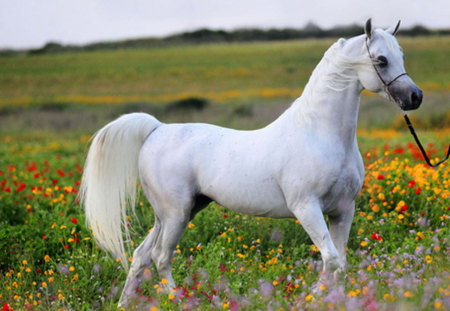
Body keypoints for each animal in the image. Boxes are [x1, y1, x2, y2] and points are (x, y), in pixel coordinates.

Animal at [81, 20, 422, 310]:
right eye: (381, 60)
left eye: (401, 55)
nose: (414, 97)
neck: (319, 133)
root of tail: (157, 128)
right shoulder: (306, 207)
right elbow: (331, 259)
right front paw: (312, 298)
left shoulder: (343, 209)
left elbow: (341, 263)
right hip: (175, 213)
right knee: (160, 256)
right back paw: (178, 300)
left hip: (174, 212)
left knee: (141, 255)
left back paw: (124, 304)